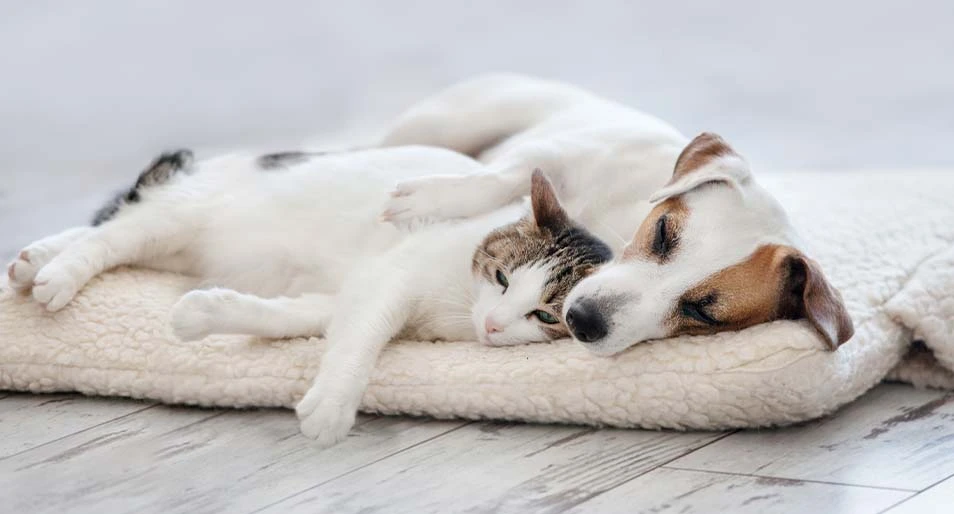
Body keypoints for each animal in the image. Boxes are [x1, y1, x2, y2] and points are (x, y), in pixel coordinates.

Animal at [7, 145, 608, 444]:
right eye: (503, 278)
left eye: (544, 317)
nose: (493, 325)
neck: (459, 310)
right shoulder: (388, 277)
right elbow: (362, 339)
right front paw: (334, 405)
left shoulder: (342, 294)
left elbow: (290, 317)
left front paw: (203, 314)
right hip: (180, 215)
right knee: (108, 236)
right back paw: (56, 274)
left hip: (175, 241)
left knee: (112, 231)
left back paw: (32, 261)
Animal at [384, 72, 852, 354]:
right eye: (663, 232)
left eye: (703, 314)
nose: (581, 320)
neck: (611, 229)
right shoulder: (561, 154)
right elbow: (503, 177)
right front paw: (423, 199)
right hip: (452, 121)